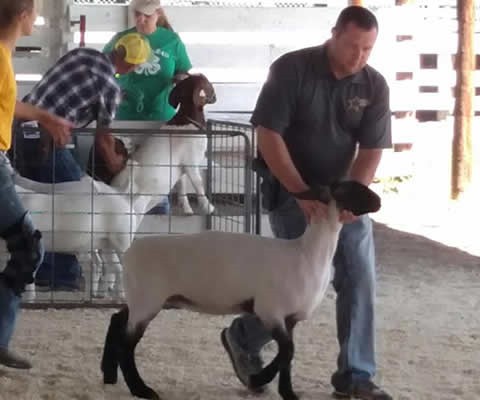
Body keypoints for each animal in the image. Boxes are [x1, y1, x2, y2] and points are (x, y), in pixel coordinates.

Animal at [101, 181, 382, 400]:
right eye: (346, 188)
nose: (378, 201)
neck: (307, 253)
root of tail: (130, 252)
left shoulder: (289, 318)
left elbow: (288, 355)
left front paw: (288, 393)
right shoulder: (270, 310)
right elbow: (287, 350)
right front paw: (257, 379)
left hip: (143, 299)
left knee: (117, 320)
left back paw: (108, 373)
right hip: (148, 299)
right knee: (127, 343)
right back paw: (141, 389)